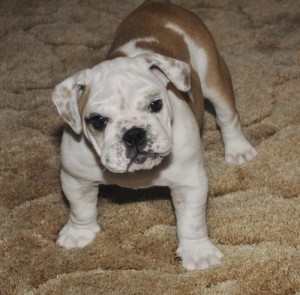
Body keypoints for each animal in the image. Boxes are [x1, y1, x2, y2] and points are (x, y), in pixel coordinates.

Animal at [51, 0, 255, 272]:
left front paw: (198, 253)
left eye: (155, 104)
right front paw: (78, 233)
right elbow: (80, 207)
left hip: (213, 74)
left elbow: (191, 222)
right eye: (98, 121)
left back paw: (238, 150)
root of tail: (159, 5)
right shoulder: (75, 178)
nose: (134, 134)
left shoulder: (189, 181)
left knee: (227, 115)